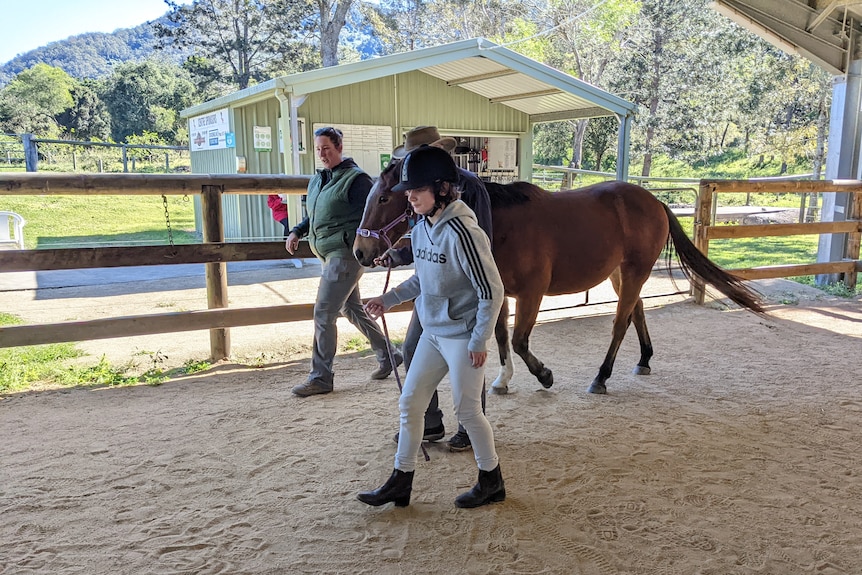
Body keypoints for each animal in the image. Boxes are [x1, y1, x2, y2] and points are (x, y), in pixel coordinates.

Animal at [354, 162, 768, 396]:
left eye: (385, 199)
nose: (360, 251)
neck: (497, 224)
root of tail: (655, 201)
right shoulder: (499, 292)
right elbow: (501, 336)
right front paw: (503, 380)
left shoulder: (532, 293)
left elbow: (519, 340)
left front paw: (545, 376)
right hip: (621, 274)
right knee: (637, 313)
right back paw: (644, 360)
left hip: (635, 271)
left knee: (620, 323)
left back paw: (601, 378)